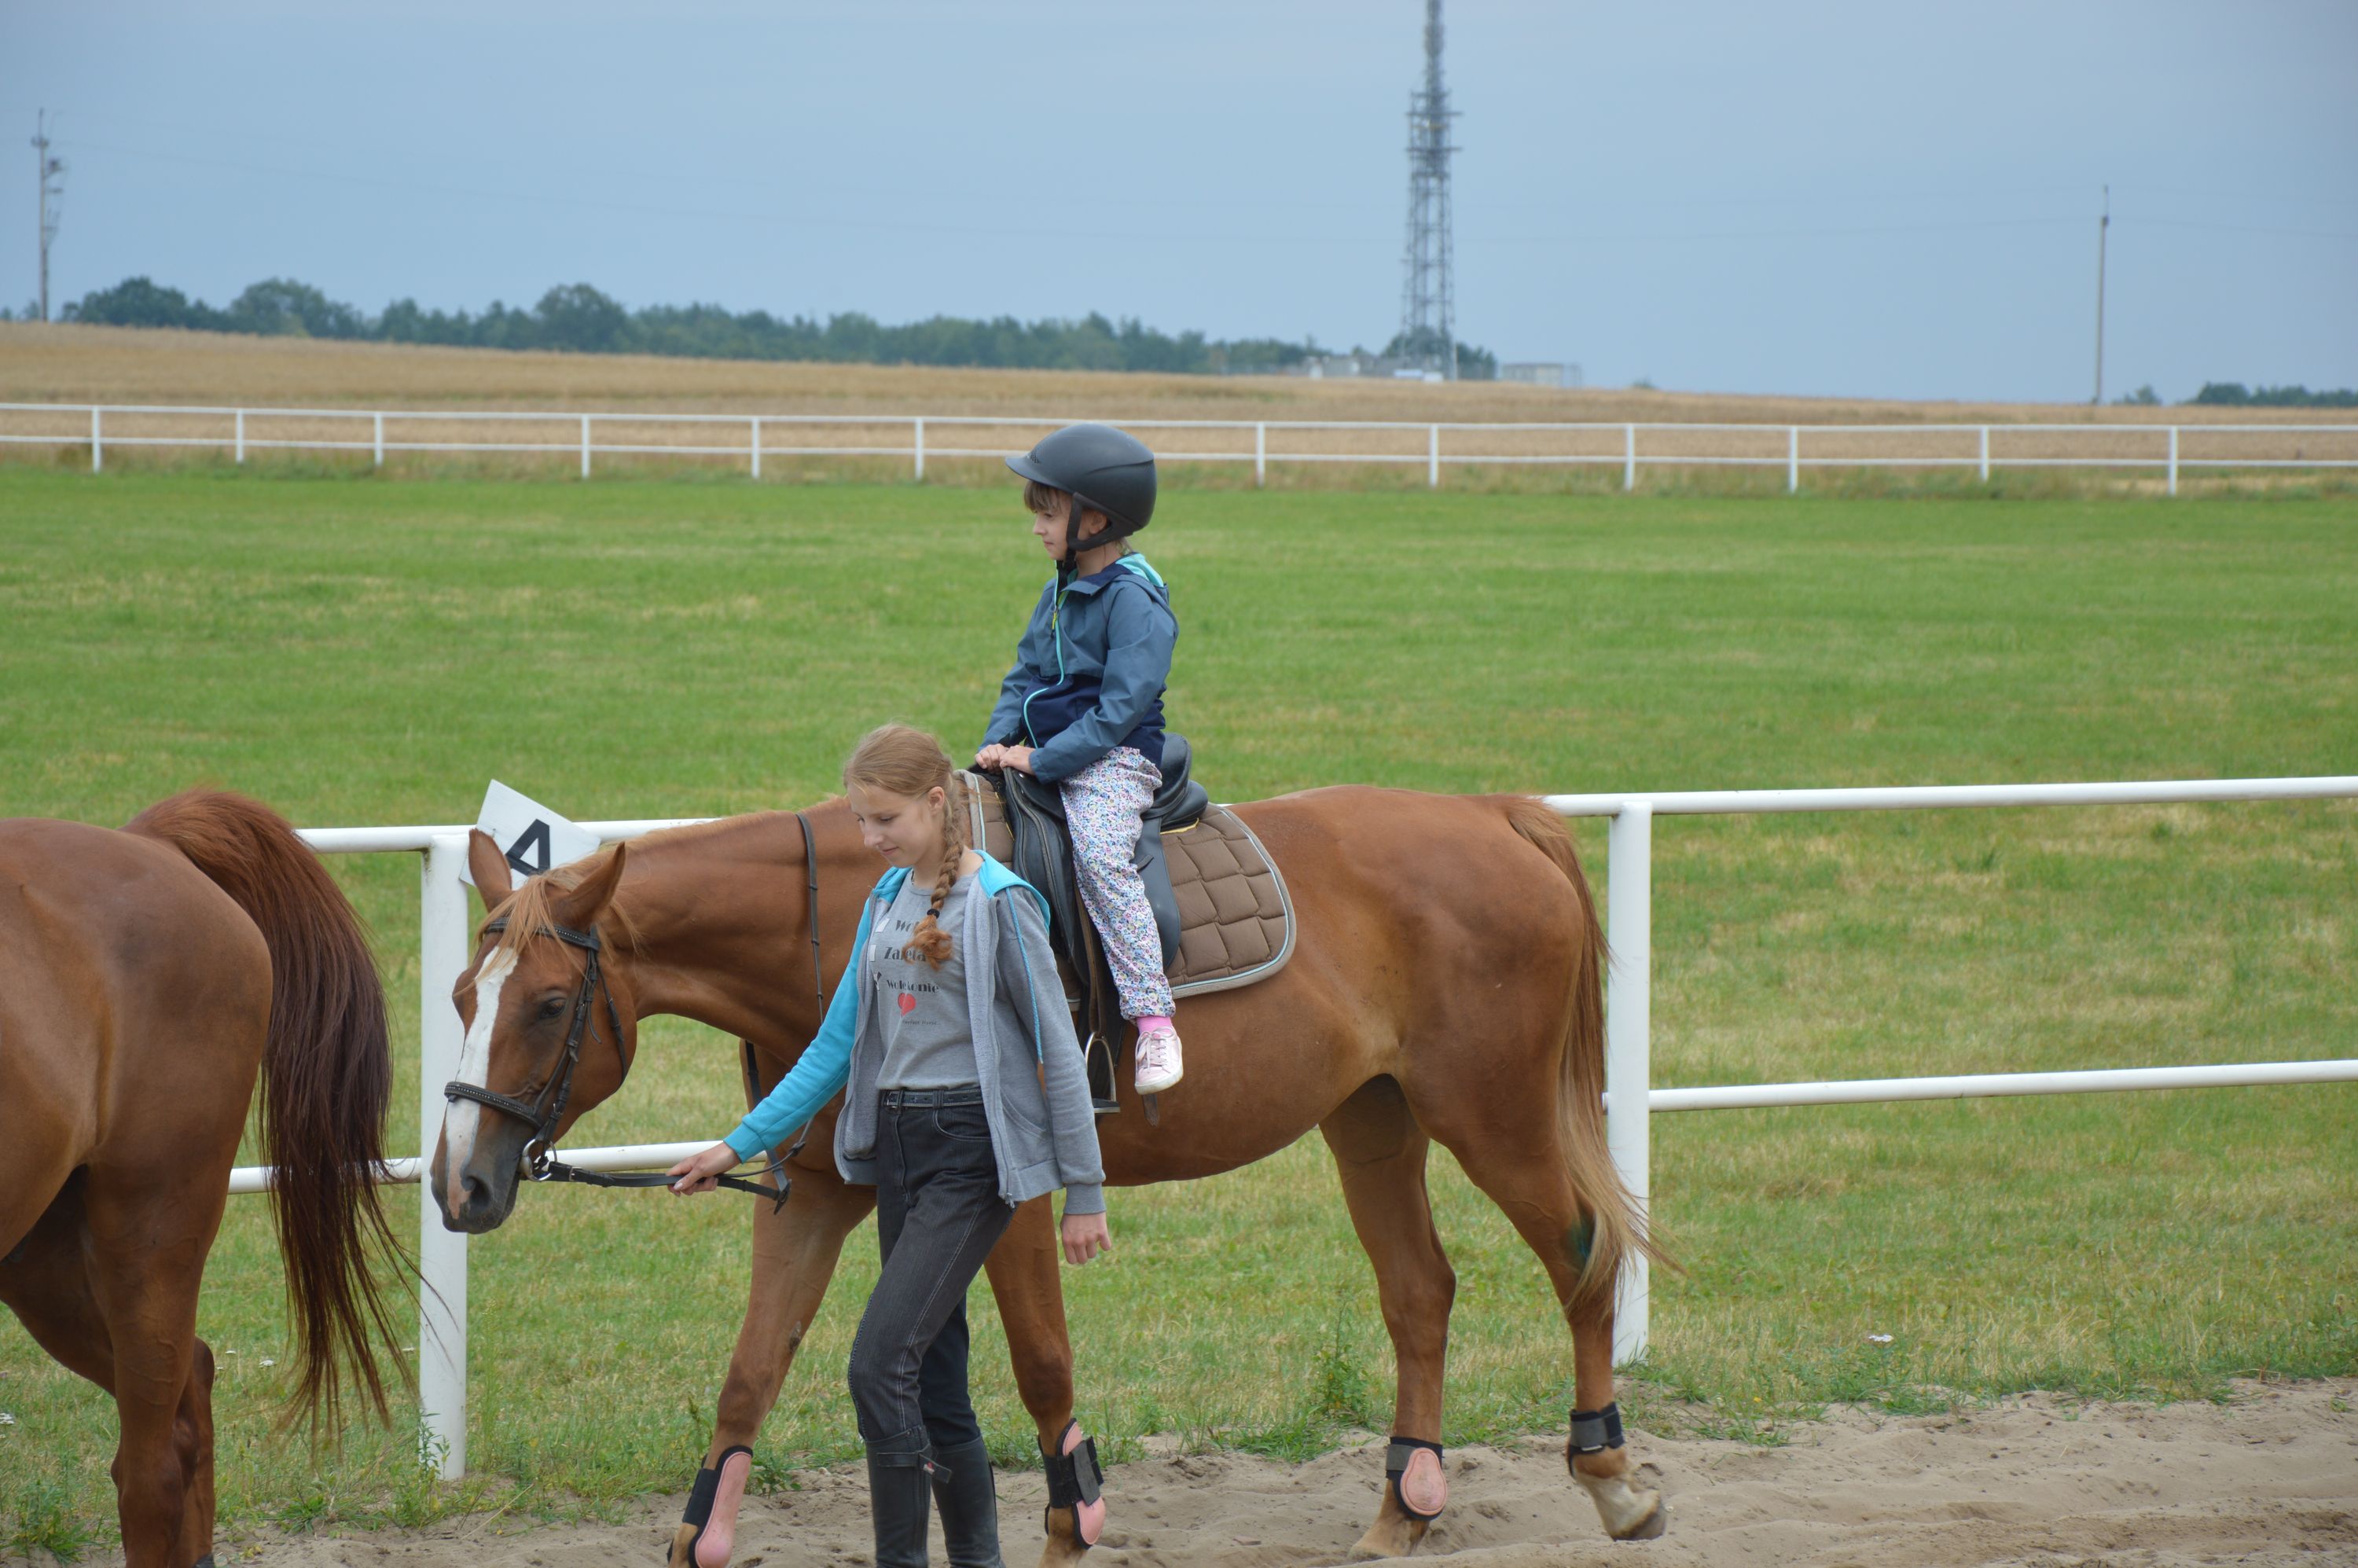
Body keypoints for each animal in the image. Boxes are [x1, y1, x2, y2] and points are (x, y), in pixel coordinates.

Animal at [431, 786, 1666, 1565]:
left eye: (548, 1003)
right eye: (457, 994)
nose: (461, 1187)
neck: (851, 931)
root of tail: (1492, 814)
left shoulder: (1015, 1196)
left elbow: (1040, 1366)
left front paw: (1075, 1522)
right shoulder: (818, 1198)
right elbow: (750, 1375)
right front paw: (702, 1535)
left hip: (1492, 1114)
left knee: (1582, 1254)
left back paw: (1610, 1474)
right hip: (1373, 1120)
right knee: (1420, 1290)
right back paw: (1404, 1507)